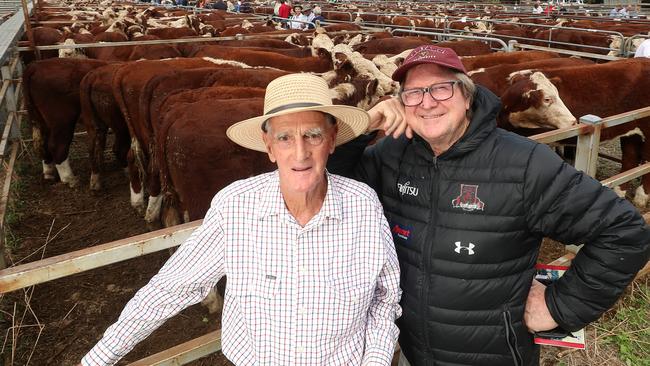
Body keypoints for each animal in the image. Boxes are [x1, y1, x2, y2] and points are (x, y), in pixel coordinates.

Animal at [498, 58, 644, 206]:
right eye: (547, 99)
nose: (573, 121)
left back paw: (641, 197)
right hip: (631, 133)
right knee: (629, 160)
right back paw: (619, 192)